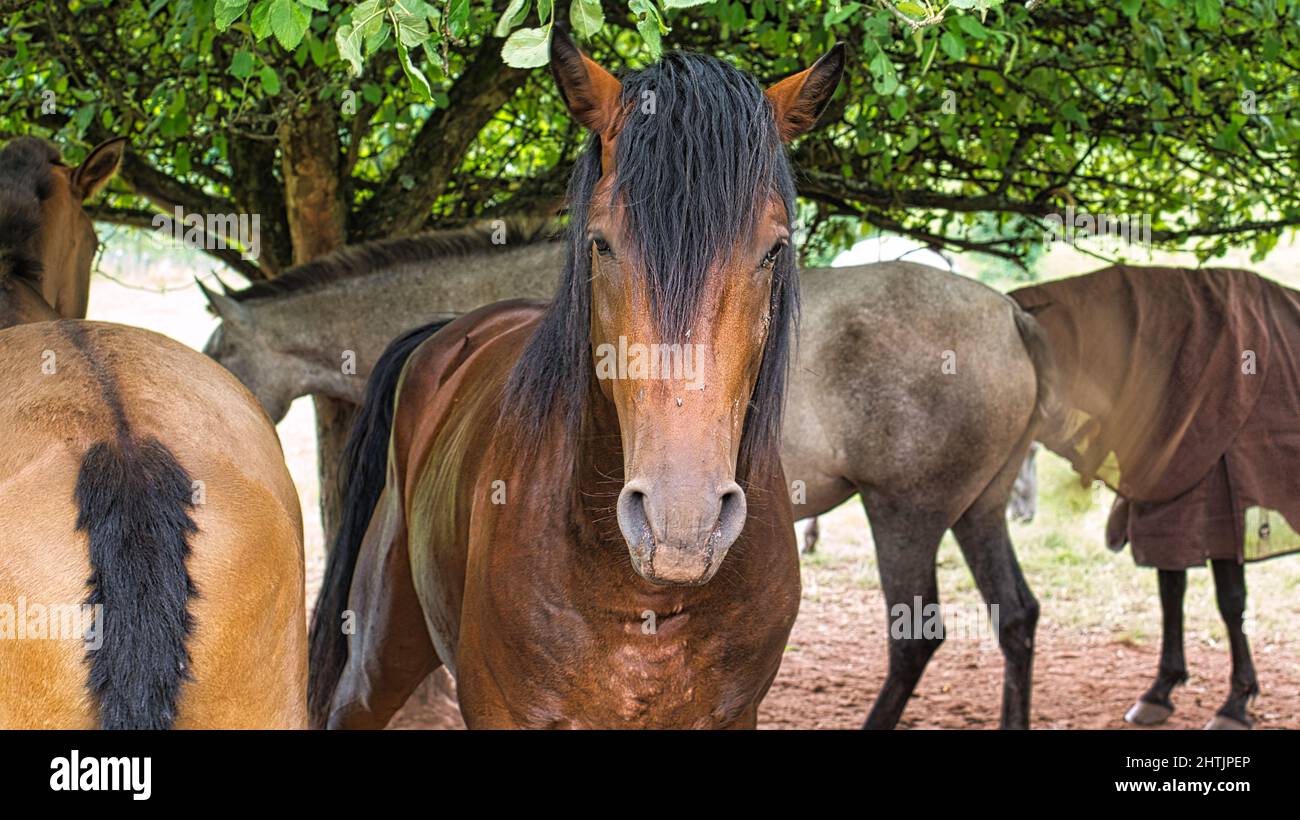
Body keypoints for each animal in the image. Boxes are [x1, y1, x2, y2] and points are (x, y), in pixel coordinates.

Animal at [205, 220, 1055, 727]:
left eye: (221, 347)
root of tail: (1010, 315)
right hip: (975, 513)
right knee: (1014, 615)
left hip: (904, 514)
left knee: (917, 635)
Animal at [1013, 265, 1300, 732]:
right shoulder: (1164, 510)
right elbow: (1171, 592)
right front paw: (1161, 690)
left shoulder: (1222, 517)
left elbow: (1230, 601)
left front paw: (1236, 702)